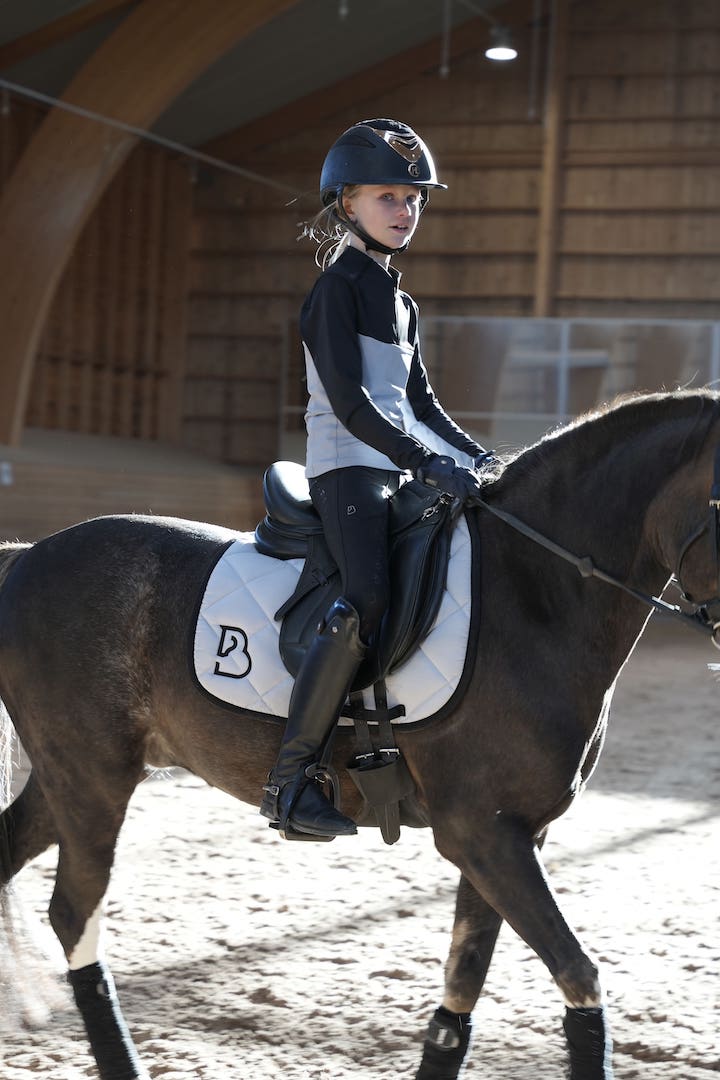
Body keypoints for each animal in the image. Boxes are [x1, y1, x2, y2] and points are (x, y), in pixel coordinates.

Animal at [1, 390, 720, 1080]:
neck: (531, 595)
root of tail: (29, 556)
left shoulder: (509, 836)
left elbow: (463, 985)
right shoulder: (482, 834)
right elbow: (578, 974)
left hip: (70, 779)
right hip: (92, 777)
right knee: (74, 913)